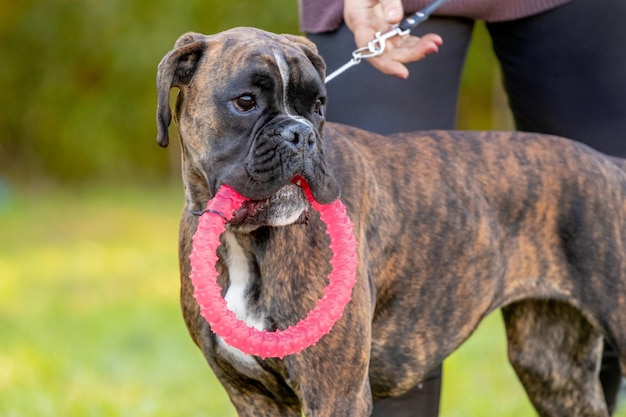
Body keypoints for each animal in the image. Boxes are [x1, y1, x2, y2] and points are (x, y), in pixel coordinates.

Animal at [154, 27, 620, 414]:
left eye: (318, 106)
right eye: (245, 102)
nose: (301, 134)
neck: (245, 239)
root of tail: (612, 165)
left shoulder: (335, 392)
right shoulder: (252, 396)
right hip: (552, 369)